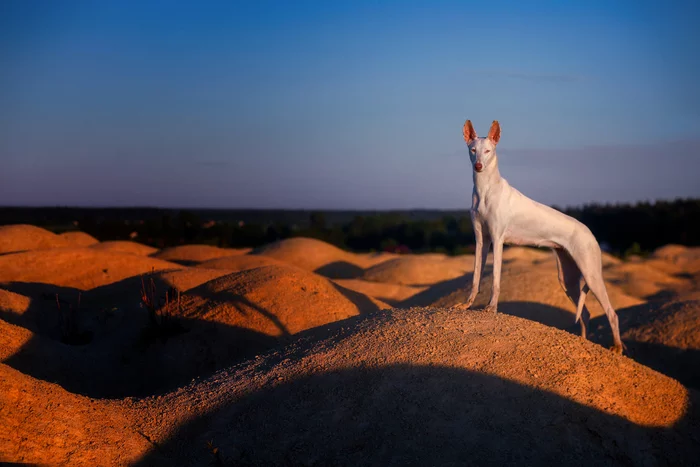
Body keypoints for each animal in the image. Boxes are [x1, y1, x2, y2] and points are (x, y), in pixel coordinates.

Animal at [460, 120, 624, 354]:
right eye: (473, 150)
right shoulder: (481, 241)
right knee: (585, 313)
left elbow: (496, 279)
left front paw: (491, 308)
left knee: (611, 312)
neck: (486, 188)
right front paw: (467, 304)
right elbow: (475, 277)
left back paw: (617, 348)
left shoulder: (498, 240)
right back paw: (583, 343)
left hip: (591, 274)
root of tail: (589, 232)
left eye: (488, 151)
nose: (479, 166)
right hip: (568, 279)